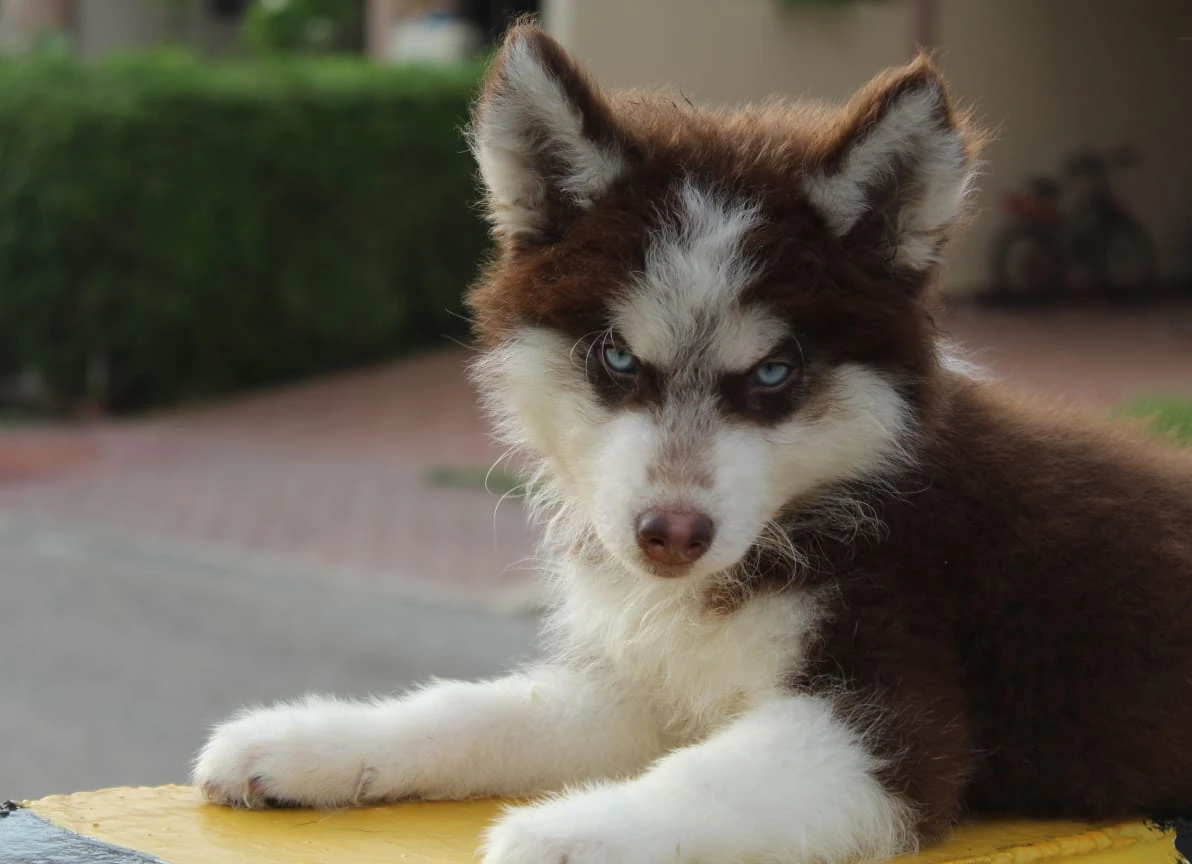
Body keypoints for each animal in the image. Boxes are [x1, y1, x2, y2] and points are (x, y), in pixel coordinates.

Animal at [193, 23, 1192, 858]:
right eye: (616, 356)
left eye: (776, 372)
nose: (669, 537)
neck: (828, 506)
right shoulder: (642, 687)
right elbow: (479, 711)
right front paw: (310, 740)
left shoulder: (891, 720)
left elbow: (702, 779)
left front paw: (565, 833)